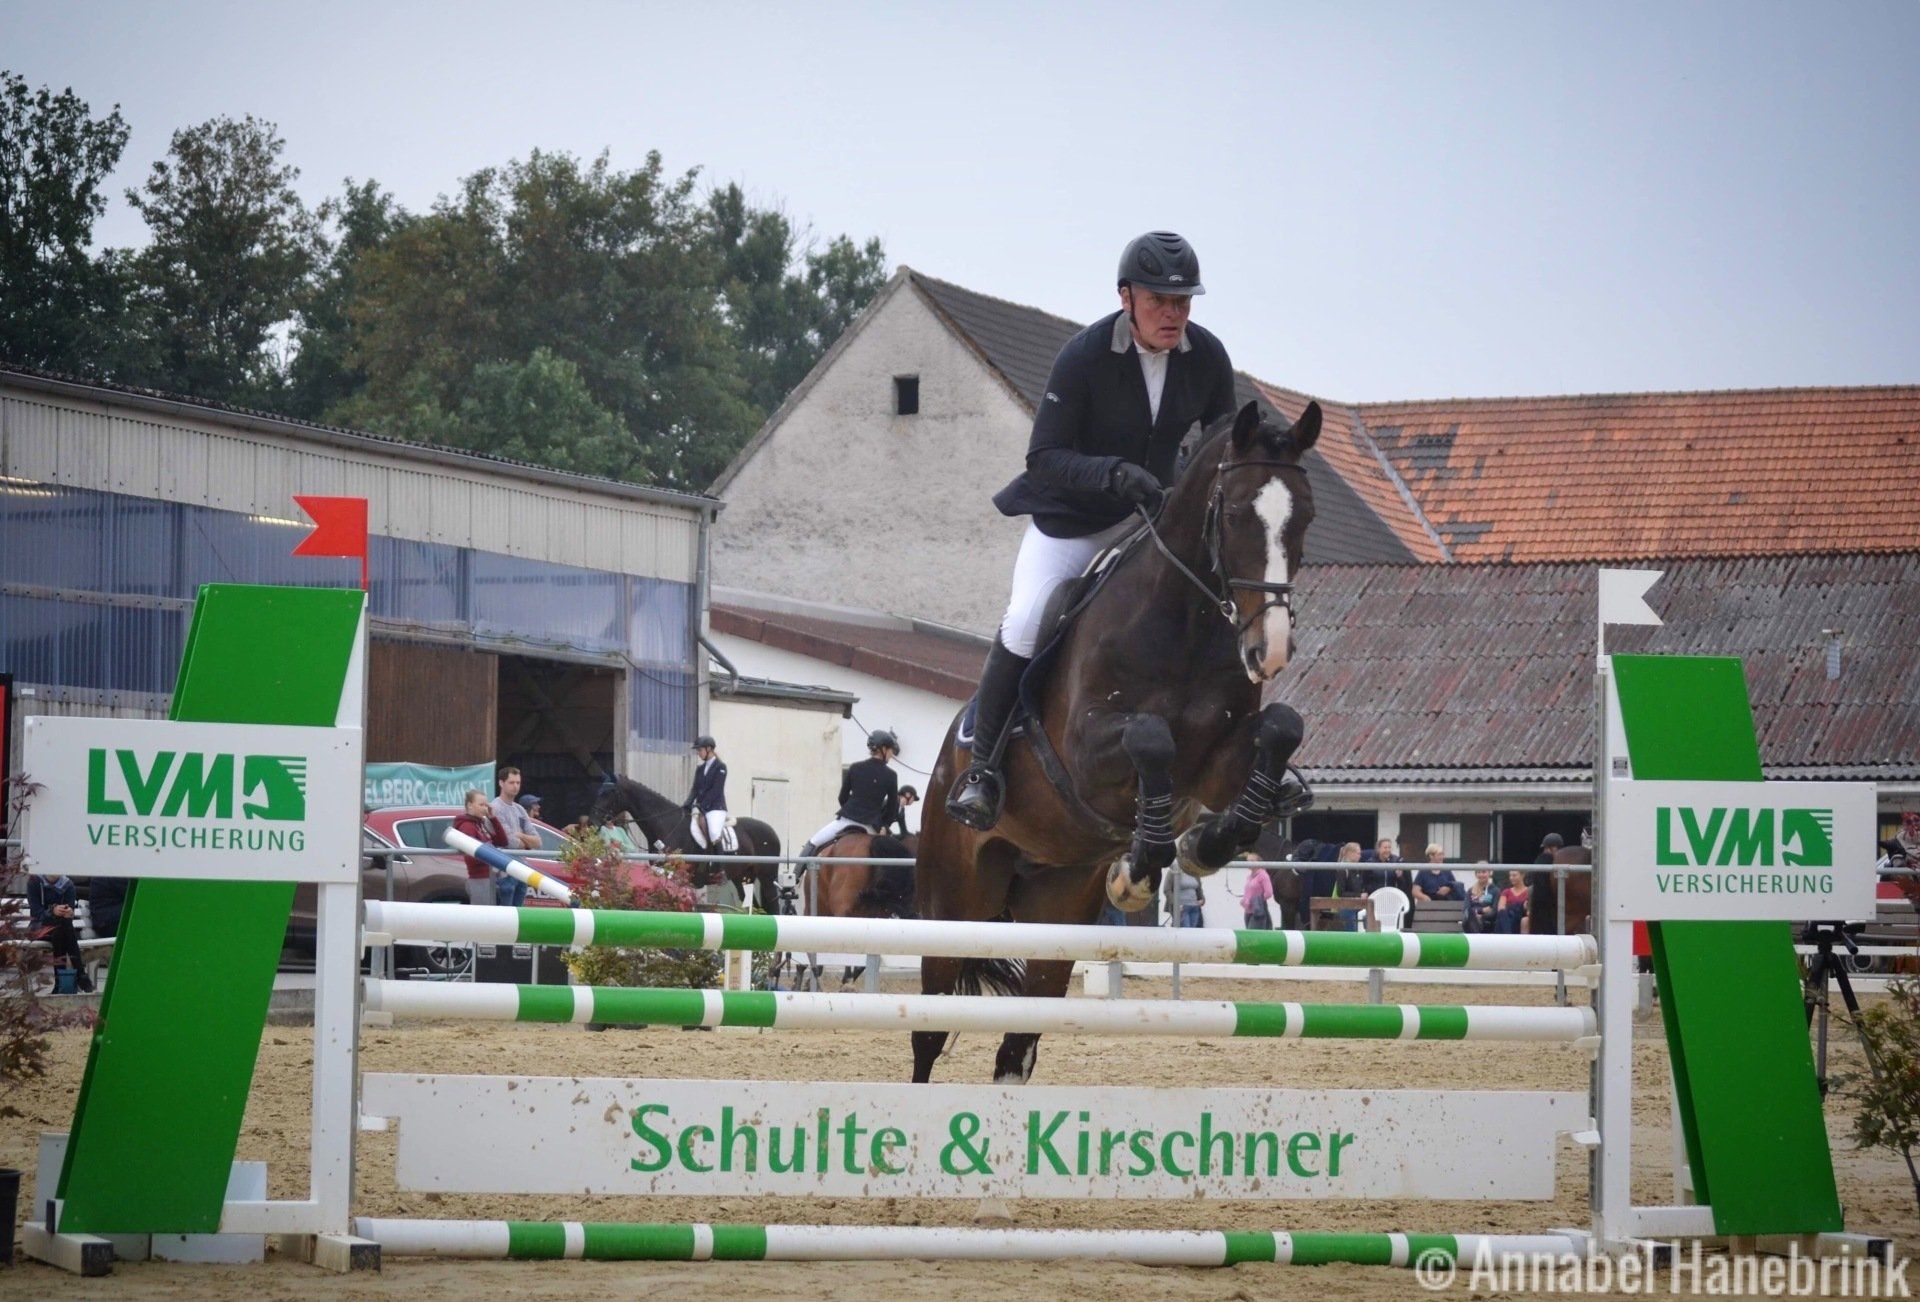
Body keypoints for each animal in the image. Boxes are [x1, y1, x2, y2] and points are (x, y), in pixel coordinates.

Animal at [589, 774, 780, 912]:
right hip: (742, 878)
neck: (668, 825)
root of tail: (772, 831)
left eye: (609, 793)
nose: (592, 821)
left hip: (766, 878)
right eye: (598, 792)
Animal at [913, 401, 1320, 1085]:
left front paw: (1202, 845)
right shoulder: (1085, 755)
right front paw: (1137, 871)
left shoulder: (1218, 764)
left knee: (1017, 1045)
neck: (1184, 624)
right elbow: (1150, 738)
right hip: (953, 905)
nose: (1270, 651)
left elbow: (1280, 728)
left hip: (1054, 911)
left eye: (1307, 518)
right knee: (927, 1031)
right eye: (1236, 513)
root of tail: (944, 768)